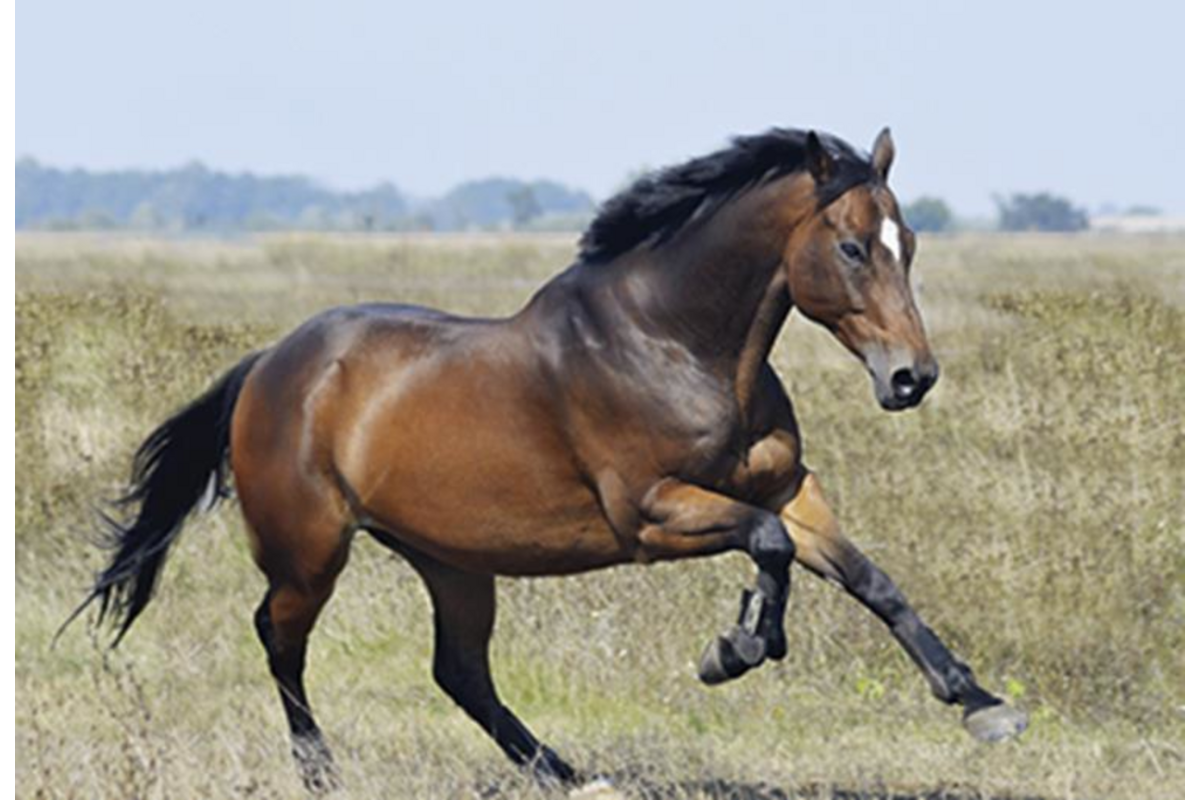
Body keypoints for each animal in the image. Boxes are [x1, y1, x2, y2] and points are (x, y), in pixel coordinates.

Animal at [69, 127, 1027, 792]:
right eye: (853, 248)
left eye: (911, 244)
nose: (911, 378)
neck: (676, 343)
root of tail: (270, 365)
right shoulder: (650, 513)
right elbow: (769, 546)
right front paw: (736, 647)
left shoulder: (792, 487)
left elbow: (868, 578)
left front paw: (979, 703)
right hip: (310, 553)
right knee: (280, 637)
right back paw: (321, 772)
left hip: (452, 562)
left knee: (459, 671)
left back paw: (564, 772)